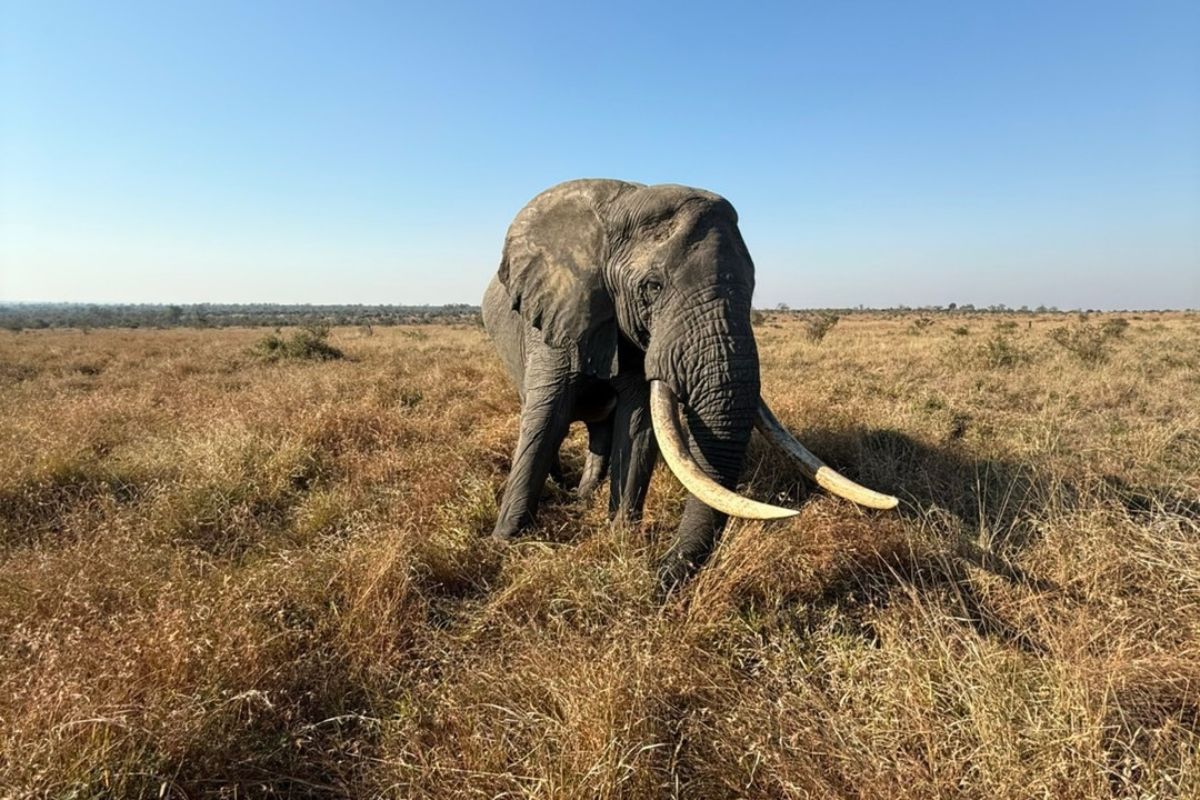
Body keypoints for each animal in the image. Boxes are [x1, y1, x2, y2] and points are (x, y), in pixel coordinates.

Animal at [482, 179, 897, 592]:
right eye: (652, 287)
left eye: (752, 286)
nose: (659, 576)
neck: (624, 203)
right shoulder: (559, 310)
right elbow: (547, 419)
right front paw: (507, 542)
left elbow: (638, 424)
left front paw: (620, 536)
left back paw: (585, 496)